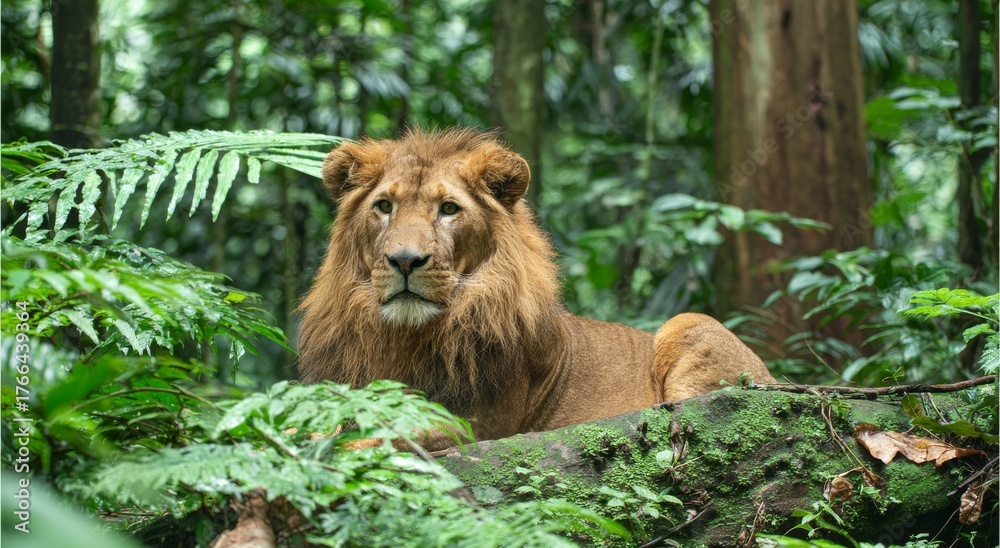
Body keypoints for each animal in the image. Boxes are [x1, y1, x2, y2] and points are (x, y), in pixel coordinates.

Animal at [297, 128, 775, 450]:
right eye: (384, 206)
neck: (406, 337)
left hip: (692, 325)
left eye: (448, 209)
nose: (404, 261)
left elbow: (389, 432)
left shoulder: (478, 423)